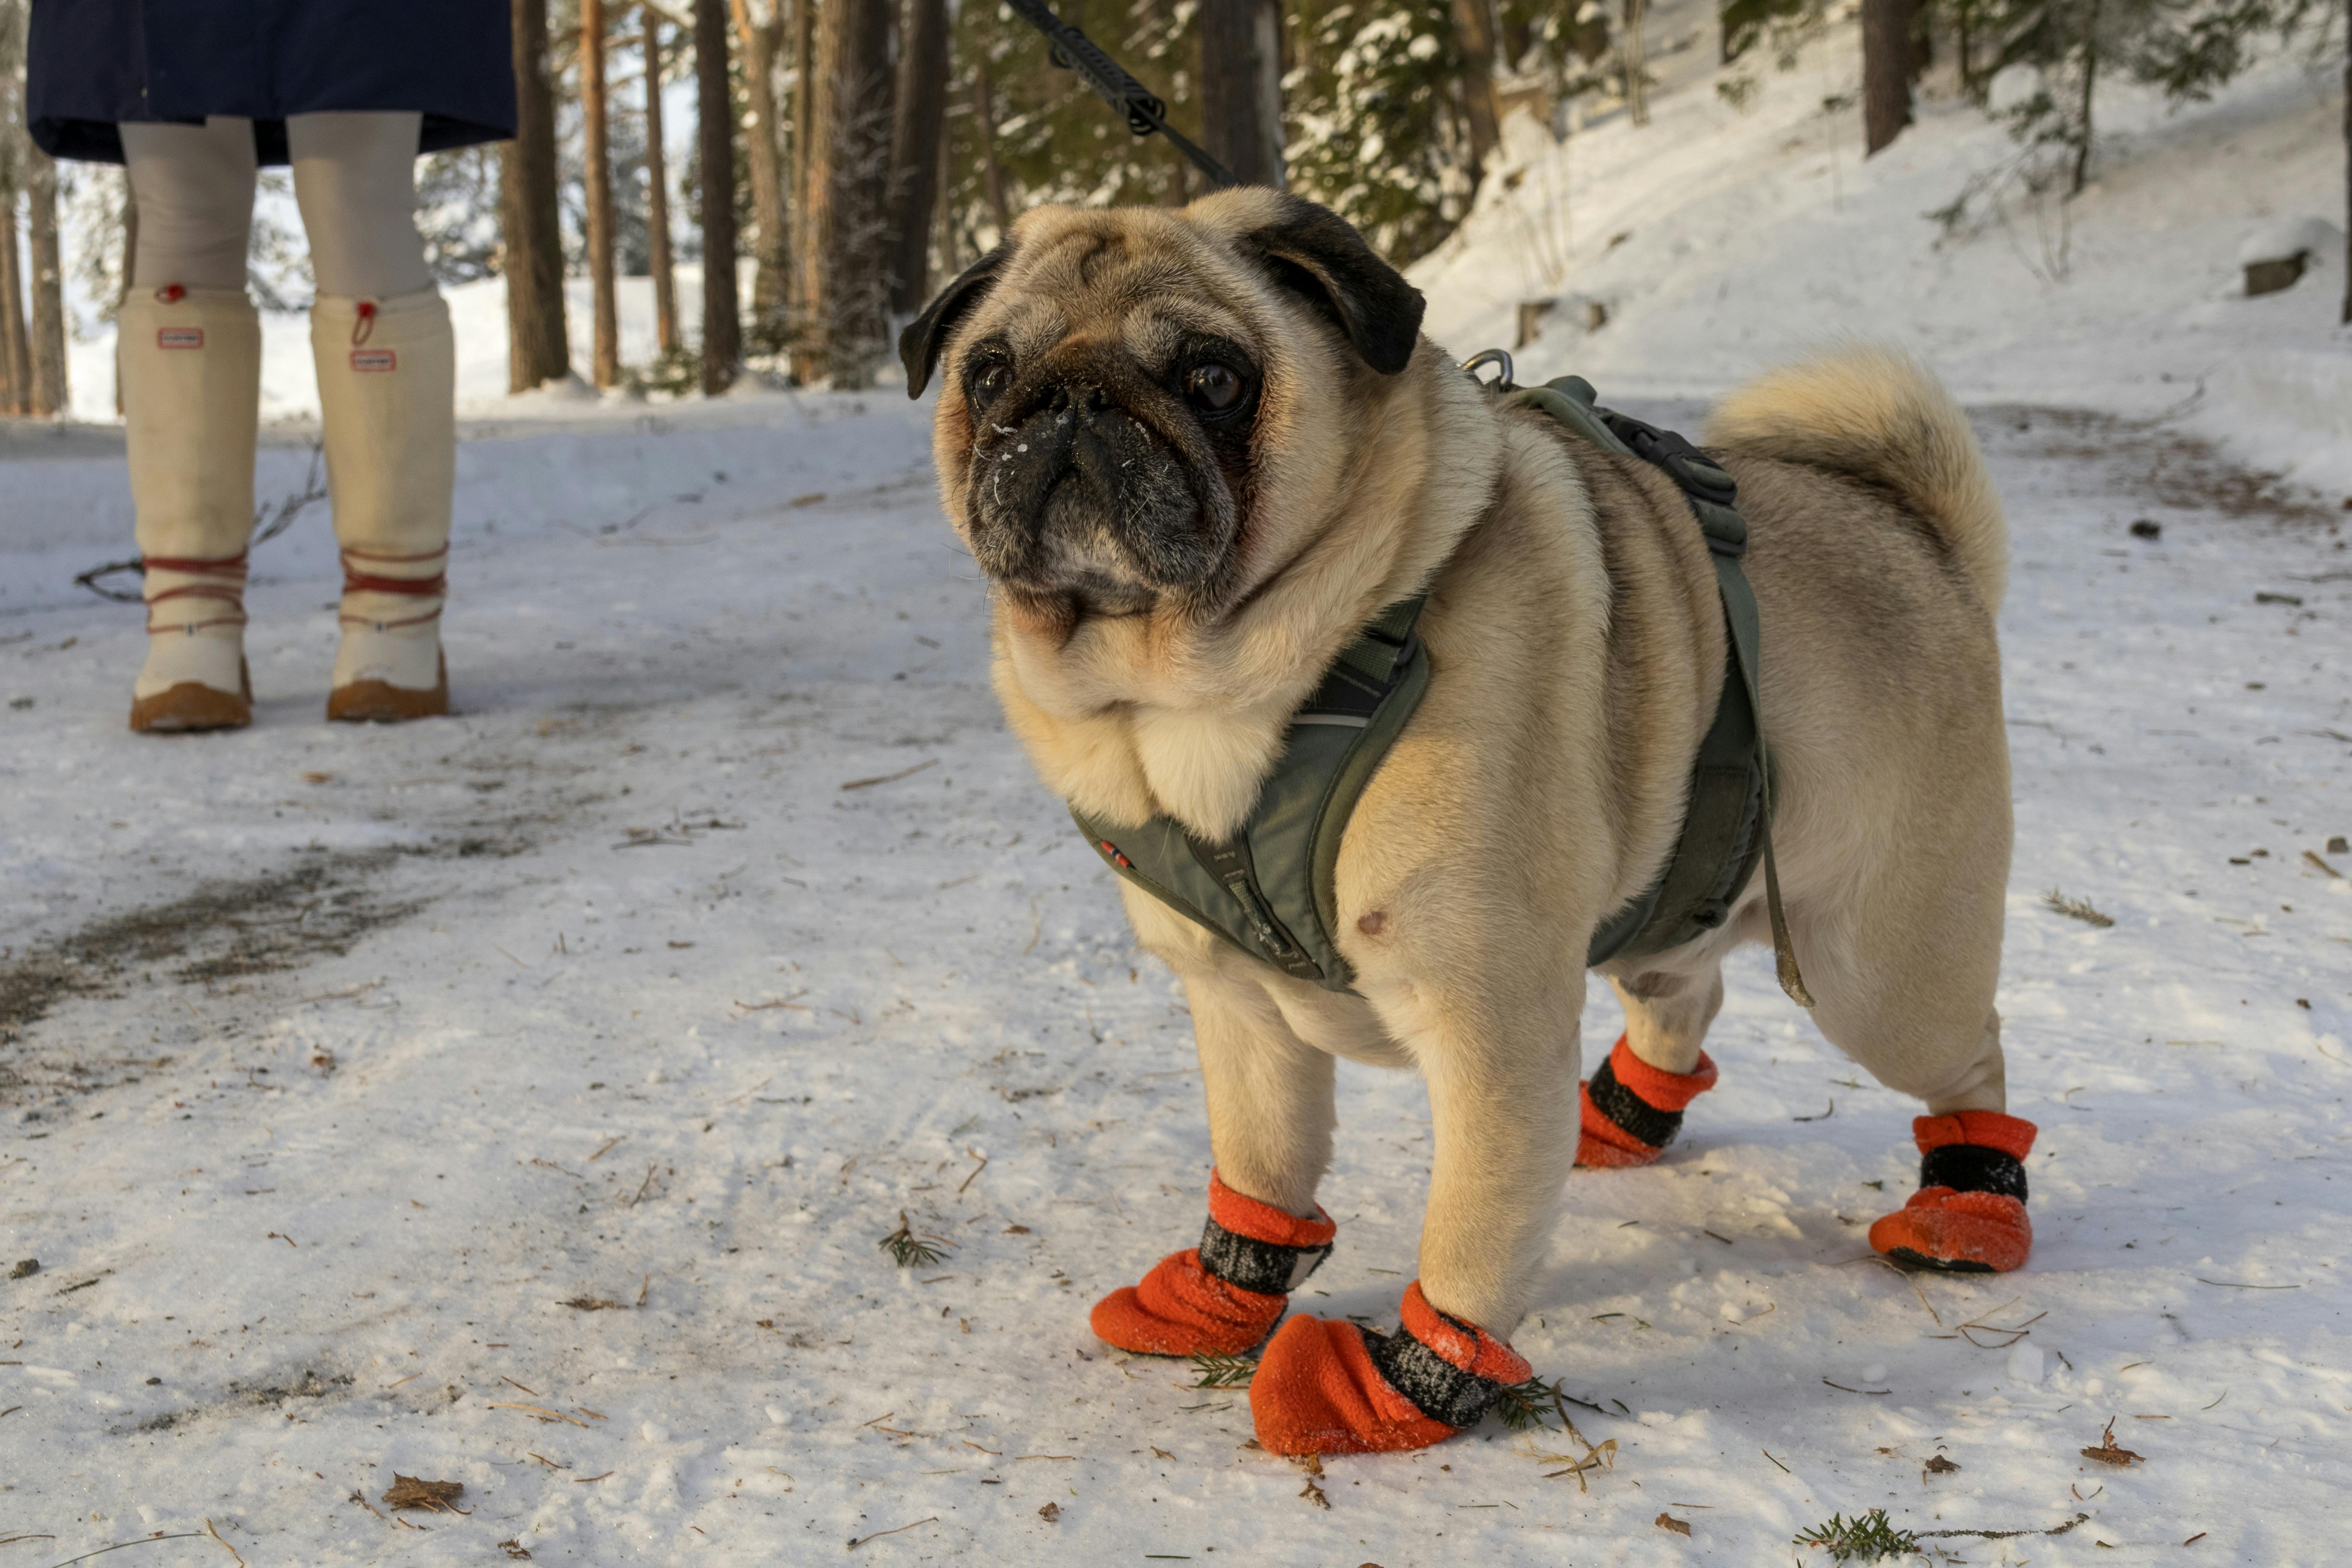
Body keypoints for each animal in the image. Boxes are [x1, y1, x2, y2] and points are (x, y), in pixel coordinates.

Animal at [889, 192, 2032, 1457]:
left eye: (1213, 377)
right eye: (988, 374)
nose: (1071, 403)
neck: (1192, 702)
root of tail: (1925, 539)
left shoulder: (1485, 1021)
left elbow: (1471, 1232)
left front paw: (1397, 1386)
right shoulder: (1237, 1005)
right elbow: (1260, 1158)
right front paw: (1220, 1291)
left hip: (1878, 971)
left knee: (1968, 1056)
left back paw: (1966, 1210)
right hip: (1673, 907)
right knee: (1683, 993)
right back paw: (1614, 1119)